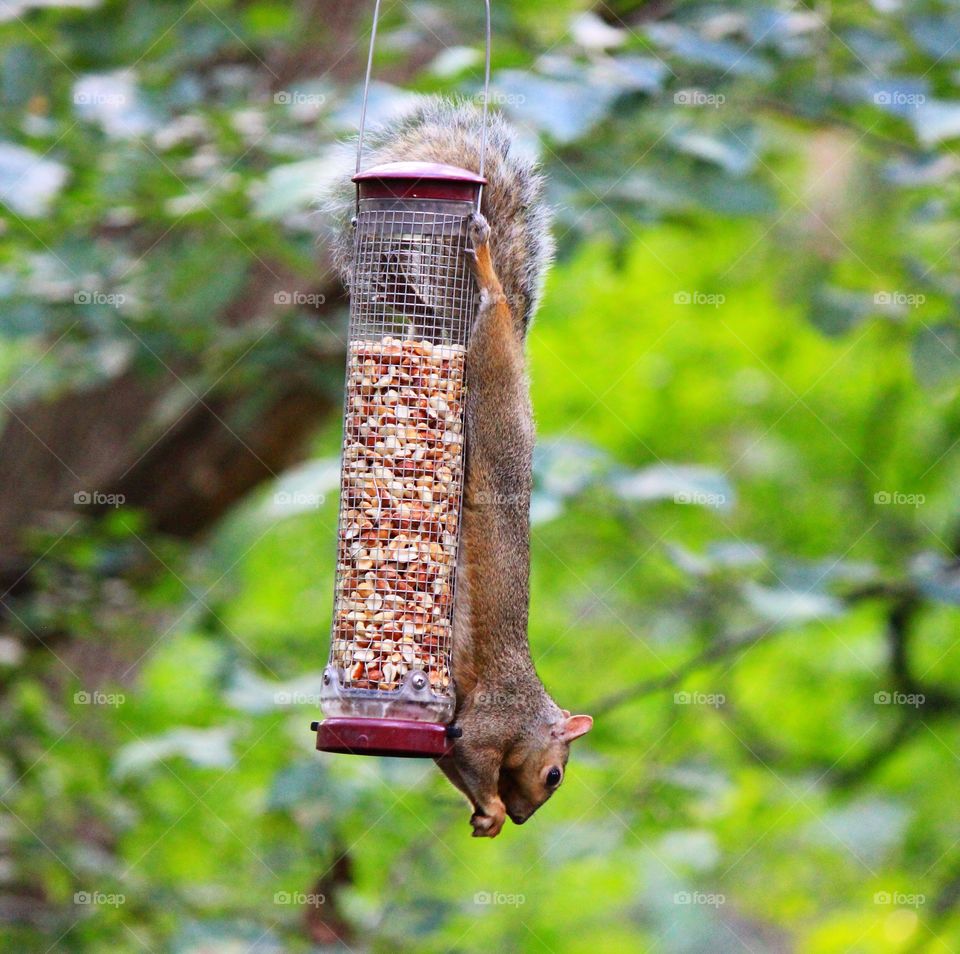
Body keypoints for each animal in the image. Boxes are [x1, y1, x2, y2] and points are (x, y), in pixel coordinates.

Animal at [330, 100, 592, 836]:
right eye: (556, 775)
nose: (529, 817)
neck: (527, 710)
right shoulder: (486, 723)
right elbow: (474, 754)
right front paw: (496, 810)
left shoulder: (452, 726)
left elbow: (446, 756)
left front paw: (486, 816)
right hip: (495, 380)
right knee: (494, 309)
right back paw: (482, 266)